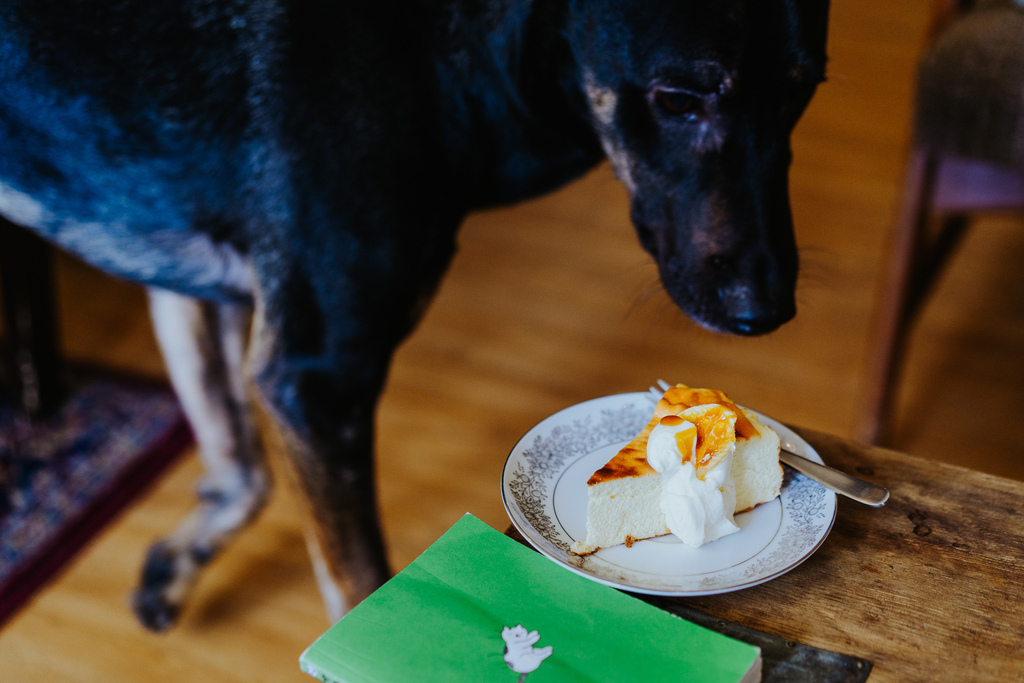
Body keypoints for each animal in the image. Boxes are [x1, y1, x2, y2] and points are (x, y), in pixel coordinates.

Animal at [0, 0, 827, 630]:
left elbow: (239, 460)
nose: (766, 311)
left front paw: (179, 557)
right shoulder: (315, 375)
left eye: (803, 93)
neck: (439, 38)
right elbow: (358, 579)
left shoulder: (193, 278)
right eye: (679, 97)